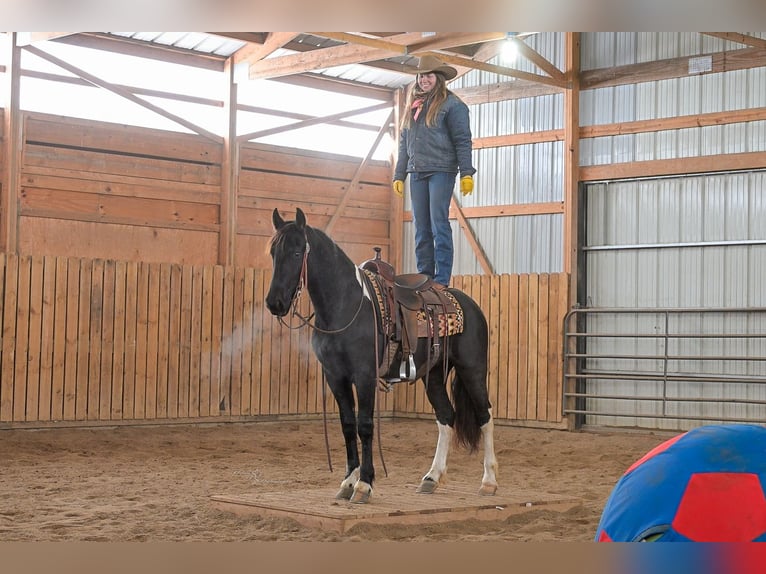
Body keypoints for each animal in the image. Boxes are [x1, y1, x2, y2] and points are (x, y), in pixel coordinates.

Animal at [265, 207, 498, 504]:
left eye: (296, 253)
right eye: (273, 253)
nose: (275, 303)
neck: (346, 304)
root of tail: (470, 305)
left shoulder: (364, 375)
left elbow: (364, 425)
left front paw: (364, 484)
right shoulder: (335, 377)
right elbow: (347, 425)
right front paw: (347, 482)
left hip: (472, 369)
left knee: (485, 415)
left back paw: (489, 481)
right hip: (433, 375)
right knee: (446, 415)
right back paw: (432, 477)